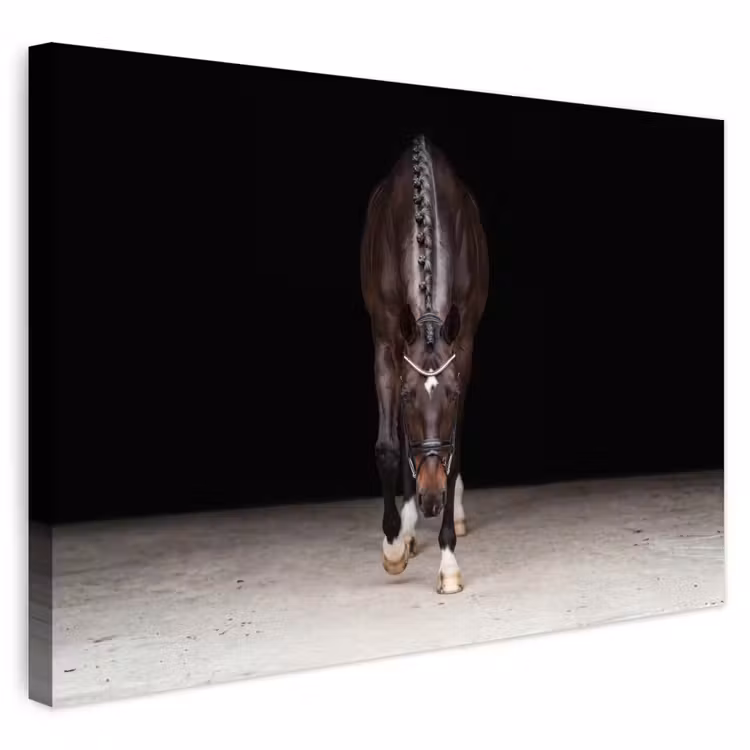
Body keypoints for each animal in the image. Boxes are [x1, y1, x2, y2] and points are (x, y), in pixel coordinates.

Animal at [360, 135, 489, 594]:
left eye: (450, 394)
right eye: (408, 395)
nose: (432, 500)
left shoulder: (463, 346)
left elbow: (454, 446)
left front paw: (448, 560)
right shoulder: (386, 342)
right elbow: (387, 447)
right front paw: (394, 545)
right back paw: (409, 525)